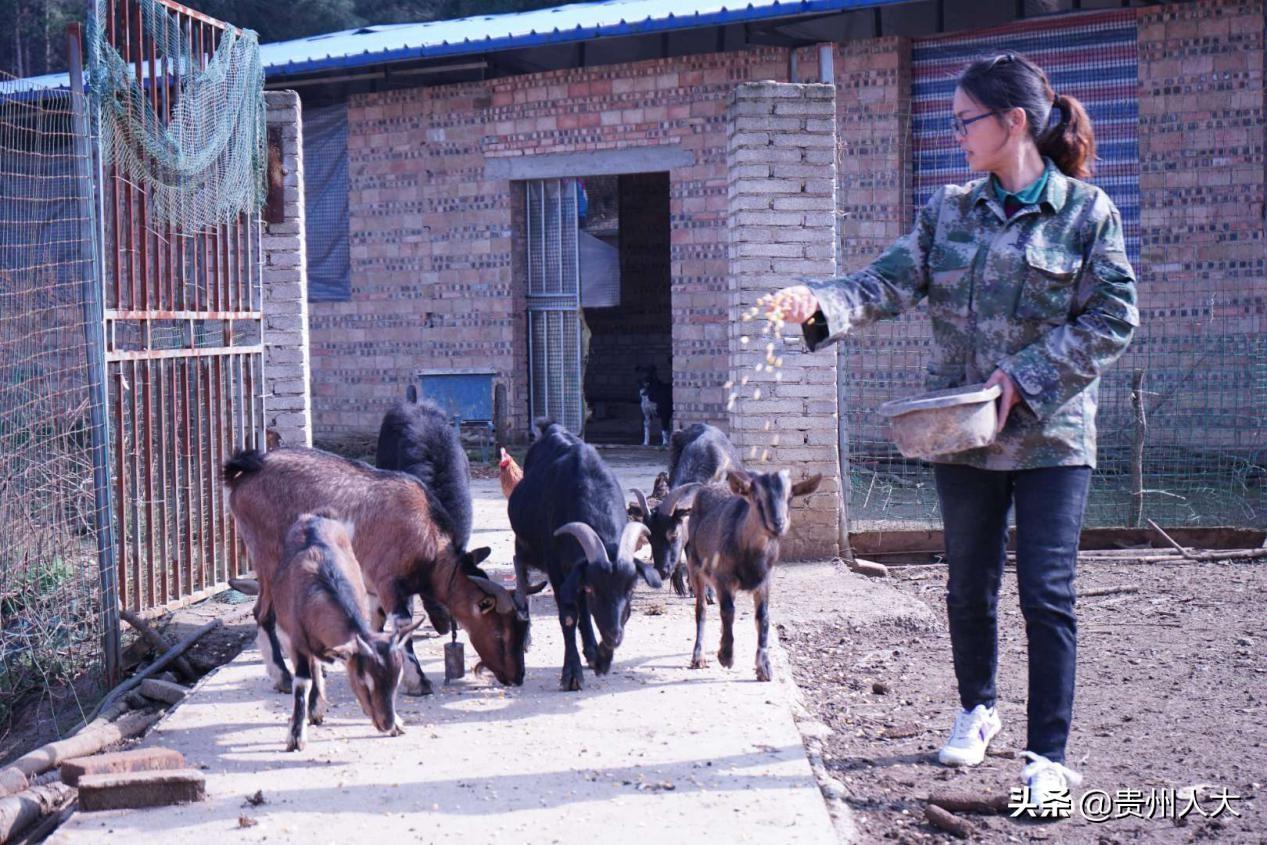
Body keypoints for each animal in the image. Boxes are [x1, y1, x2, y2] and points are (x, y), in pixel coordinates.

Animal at [222, 448, 529, 694]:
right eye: (499, 633)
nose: (517, 677)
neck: (427, 540)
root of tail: (248, 468)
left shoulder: (373, 590)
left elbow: (374, 626)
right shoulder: (389, 583)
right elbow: (402, 627)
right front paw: (418, 682)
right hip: (268, 556)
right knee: (263, 613)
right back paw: (283, 677)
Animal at [254, 511, 423, 749]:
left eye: (397, 681)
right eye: (364, 681)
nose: (387, 723)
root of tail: (312, 516)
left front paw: (398, 724)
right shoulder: (294, 640)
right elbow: (302, 681)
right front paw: (296, 736)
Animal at [506, 423, 658, 694]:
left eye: (630, 590)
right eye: (596, 590)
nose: (614, 636)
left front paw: (601, 658)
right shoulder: (557, 570)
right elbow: (568, 615)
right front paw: (572, 674)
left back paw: (591, 649)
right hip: (524, 543)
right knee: (521, 572)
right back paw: (525, 634)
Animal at [684, 466, 821, 684]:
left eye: (790, 497)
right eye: (756, 498)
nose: (778, 523)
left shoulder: (764, 581)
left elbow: (763, 617)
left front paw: (764, 668)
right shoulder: (723, 577)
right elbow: (728, 611)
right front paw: (726, 655)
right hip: (694, 565)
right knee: (701, 609)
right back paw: (698, 656)